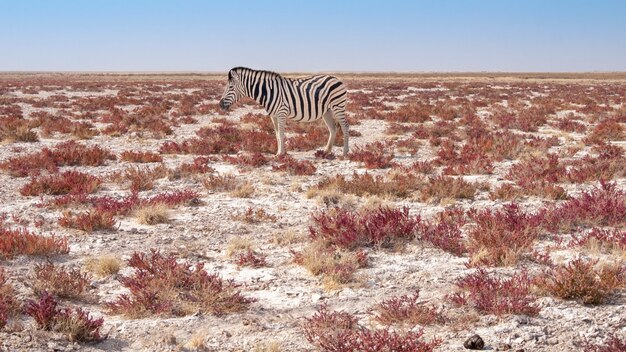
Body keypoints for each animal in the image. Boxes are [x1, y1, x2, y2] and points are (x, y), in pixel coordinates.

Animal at [218, 67, 346, 155]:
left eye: (230, 87)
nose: (220, 105)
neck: (268, 91)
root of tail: (335, 78)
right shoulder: (273, 115)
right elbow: (277, 134)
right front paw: (279, 152)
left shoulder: (281, 113)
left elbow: (282, 133)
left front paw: (281, 153)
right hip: (327, 111)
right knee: (333, 128)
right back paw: (326, 151)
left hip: (338, 106)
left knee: (345, 126)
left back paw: (345, 151)